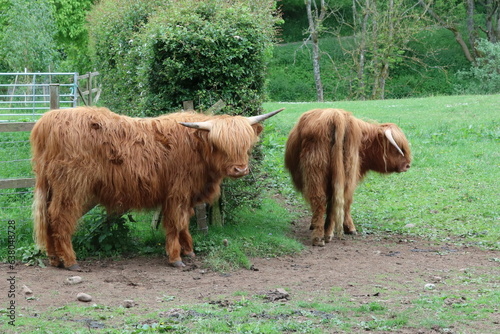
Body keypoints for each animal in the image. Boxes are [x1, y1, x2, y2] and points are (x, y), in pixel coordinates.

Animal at [32, 108, 282, 270]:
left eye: (246, 144)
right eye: (219, 145)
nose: (240, 169)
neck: (196, 148)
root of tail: (47, 120)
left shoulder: (186, 195)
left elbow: (185, 221)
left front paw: (189, 250)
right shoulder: (177, 192)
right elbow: (176, 222)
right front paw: (176, 257)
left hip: (50, 186)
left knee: (48, 219)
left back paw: (55, 259)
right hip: (71, 186)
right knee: (60, 217)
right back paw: (70, 261)